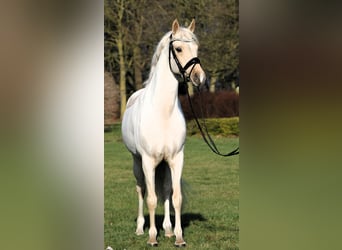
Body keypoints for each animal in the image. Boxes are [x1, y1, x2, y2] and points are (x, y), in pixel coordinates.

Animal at [121, 19, 204, 246]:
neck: (163, 112)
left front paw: (178, 237)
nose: (199, 77)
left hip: (165, 164)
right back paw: (140, 228)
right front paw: (151, 237)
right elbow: (151, 199)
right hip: (137, 162)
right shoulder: (148, 161)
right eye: (179, 49)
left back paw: (167, 229)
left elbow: (175, 197)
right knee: (141, 190)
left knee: (166, 190)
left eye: (196, 48)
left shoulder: (176, 159)